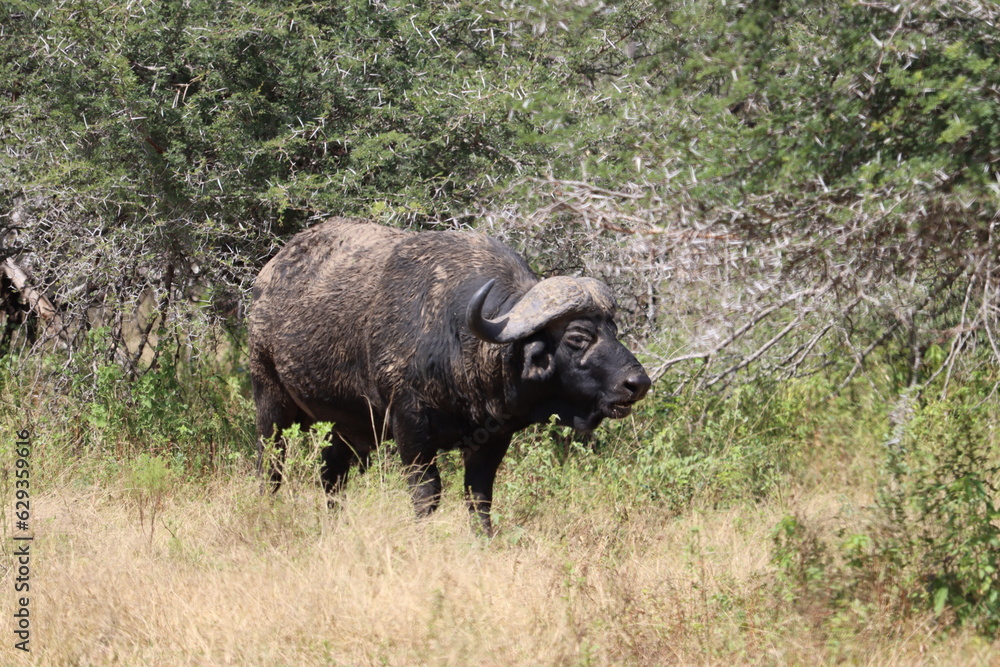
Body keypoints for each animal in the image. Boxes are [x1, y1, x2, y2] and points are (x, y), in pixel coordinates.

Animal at [249, 218, 652, 532]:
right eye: (578, 337)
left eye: (614, 329)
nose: (638, 383)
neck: (462, 341)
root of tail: (266, 277)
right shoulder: (410, 427)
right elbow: (426, 496)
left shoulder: (493, 437)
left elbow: (479, 498)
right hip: (271, 400)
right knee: (271, 467)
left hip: (347, 425)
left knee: (331, 475)